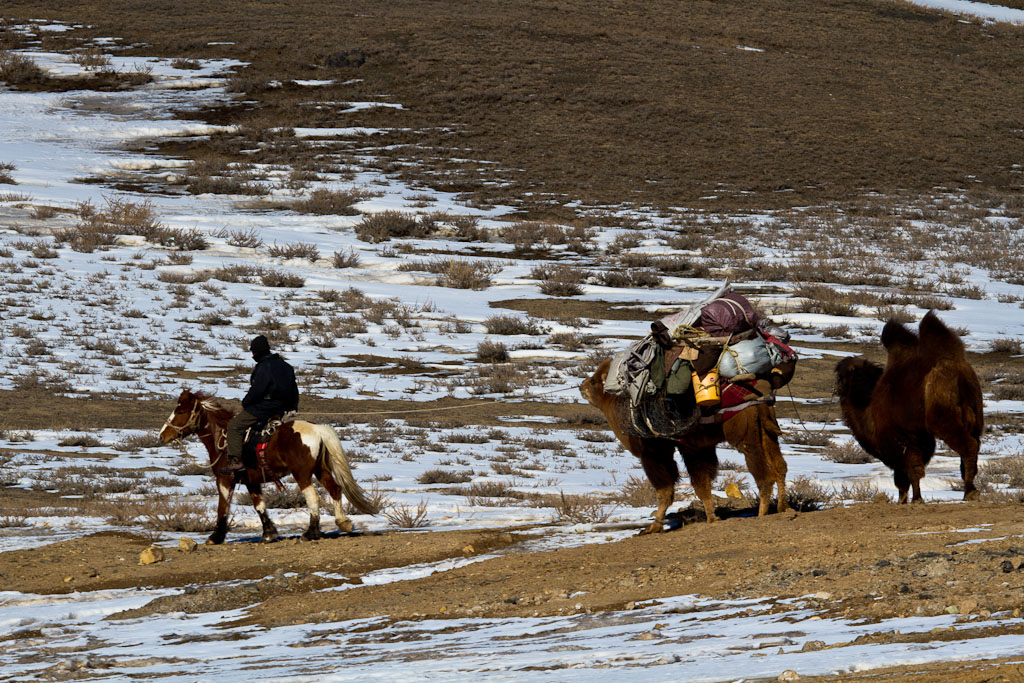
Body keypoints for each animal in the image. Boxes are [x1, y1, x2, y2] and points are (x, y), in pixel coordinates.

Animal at [155, 389, 372, 544]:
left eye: (180, 411)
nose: (161, 436)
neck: (222, 439)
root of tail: (318, 429)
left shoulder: (224, 479)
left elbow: (222, 506)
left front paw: (215, 537)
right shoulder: (251, 481)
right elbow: (259, 505)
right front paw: (269, 533)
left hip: (302, 473)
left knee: (313, 497)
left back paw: (311, 533)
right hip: (321, 470)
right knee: (335, 489)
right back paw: (343, 523)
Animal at [581, 358, 786, 532]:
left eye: (594, 382)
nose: (582, 386)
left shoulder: (656, 453)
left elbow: (668, 489)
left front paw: (652, 528)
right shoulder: (697, 449)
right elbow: (702, 483)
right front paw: (712, 518)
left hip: (745, 435)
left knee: (763, 474)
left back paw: (762, 513)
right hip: (767, 431)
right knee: (779, 466)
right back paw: (783, 508)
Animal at [839, 313, 983, 505]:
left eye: (842, 375)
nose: (838, 388)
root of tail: (956, 368)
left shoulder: (903, 438)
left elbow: (908, 473)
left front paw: (913, 500)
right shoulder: (919, 437)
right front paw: (908, 500)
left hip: (943, 419)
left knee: (968, 445)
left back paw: (970, 493)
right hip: (975, 417)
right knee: (974, 446)